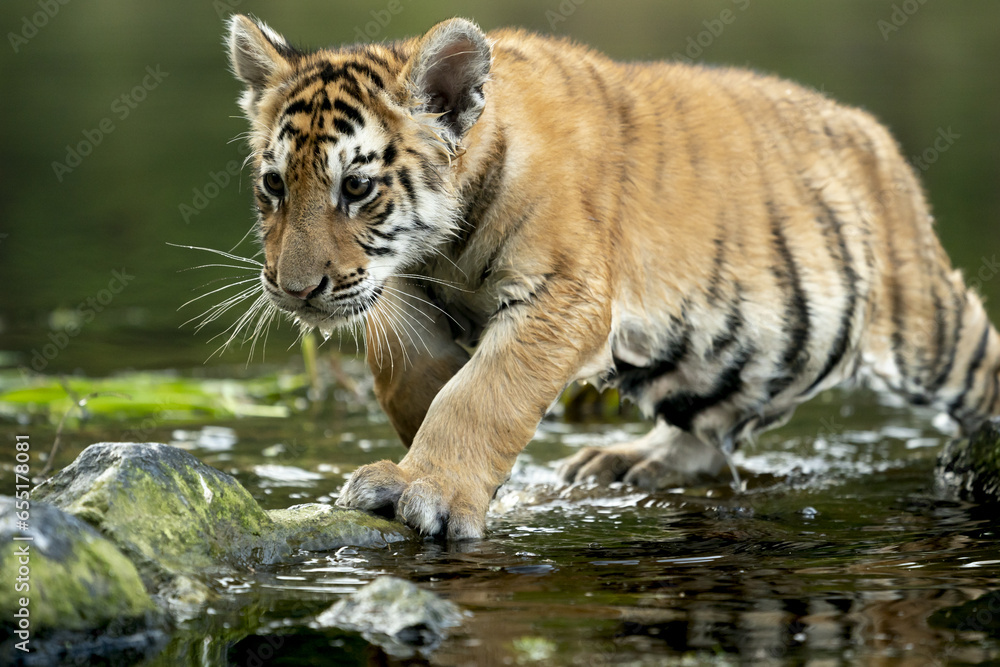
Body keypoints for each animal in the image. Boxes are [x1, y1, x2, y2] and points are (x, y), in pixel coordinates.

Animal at [224, 14, 1000, 539]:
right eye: (273, 185)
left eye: (356, 188)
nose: (293, 290)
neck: (438, 248)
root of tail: (878, 139)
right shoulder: (403, 294)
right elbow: (412, 376)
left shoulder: (562, 297)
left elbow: (482, 395)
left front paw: (431, 488)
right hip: (724, 352)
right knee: (713, 425)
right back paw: (627, 462)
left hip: (926, 325)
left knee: (980, 361)